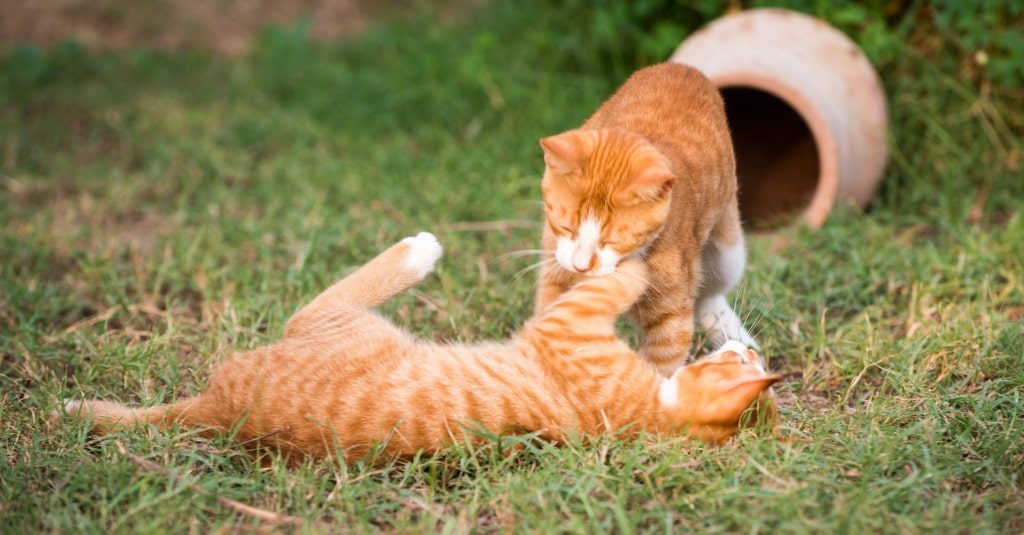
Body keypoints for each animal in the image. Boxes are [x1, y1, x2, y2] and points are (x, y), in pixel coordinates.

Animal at [54, 230, 774, 459]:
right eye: (750, 359)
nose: (755, 353)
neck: (656, 412)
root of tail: (211, 413)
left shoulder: (567, 325)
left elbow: (617, 278)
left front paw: (628, 257)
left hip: (339, 322)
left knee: (322, 299)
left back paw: (419, 249)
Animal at [536, 61, 761, 375]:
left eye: (614, 239)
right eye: (565, 226)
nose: (581, 266)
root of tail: (681, 66)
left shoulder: (672, 316)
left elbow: (660, 365)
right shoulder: (556, 272)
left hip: (727, 252)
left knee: (708, 296)